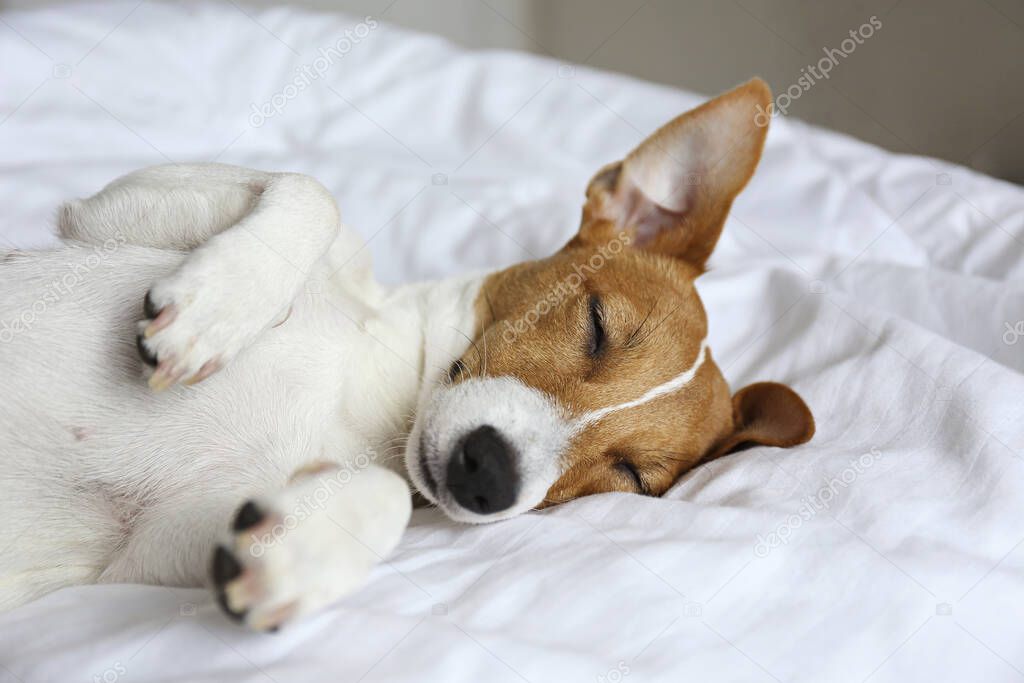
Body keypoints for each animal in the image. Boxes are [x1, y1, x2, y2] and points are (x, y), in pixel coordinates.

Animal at [0, 78, 815, 630]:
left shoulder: (148, 547)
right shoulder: (108, 213)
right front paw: (217, 307)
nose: (489, 474)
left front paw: (296, 557)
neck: (382, 399)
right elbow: (313, 191)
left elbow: (384, 497)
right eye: (596, 325)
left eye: (631, 477)